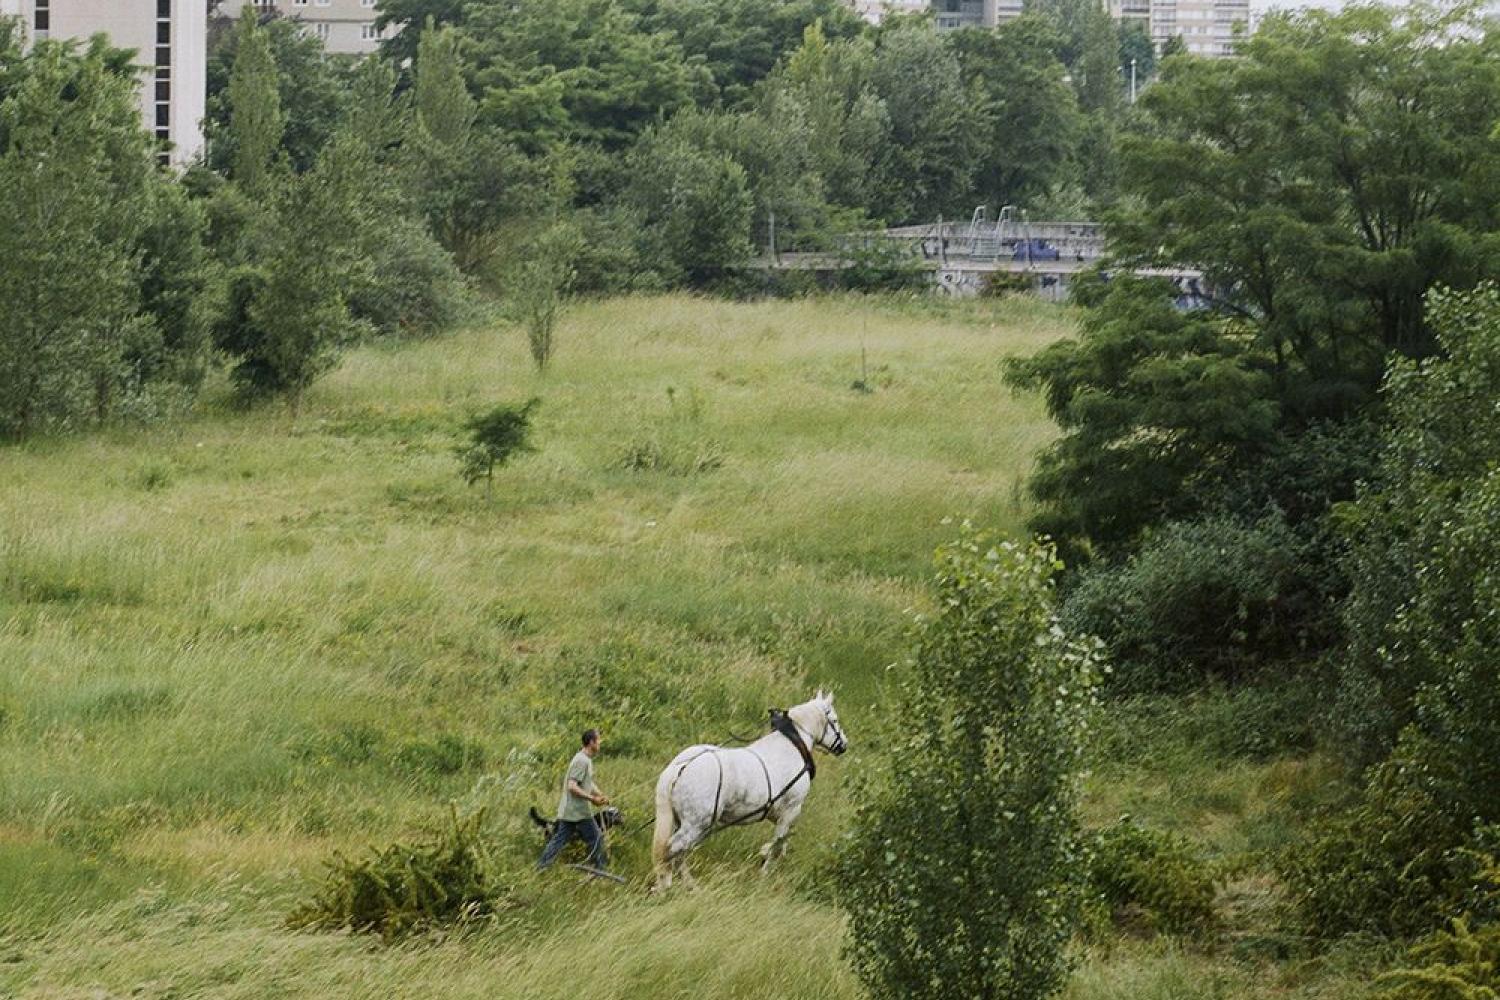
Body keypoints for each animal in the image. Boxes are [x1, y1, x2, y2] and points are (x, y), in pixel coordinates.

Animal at [651, 689, 852, 893]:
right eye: (835, 720)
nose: (843, 745)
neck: (792, 747)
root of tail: (681, 767)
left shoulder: (775, 812)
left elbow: (782, 840)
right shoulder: (792, 809)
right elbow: (779, 840)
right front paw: (765, 868)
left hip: (682, 821)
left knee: (677, 853)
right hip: (696, 825)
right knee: (673, 850)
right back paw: (675, 885)